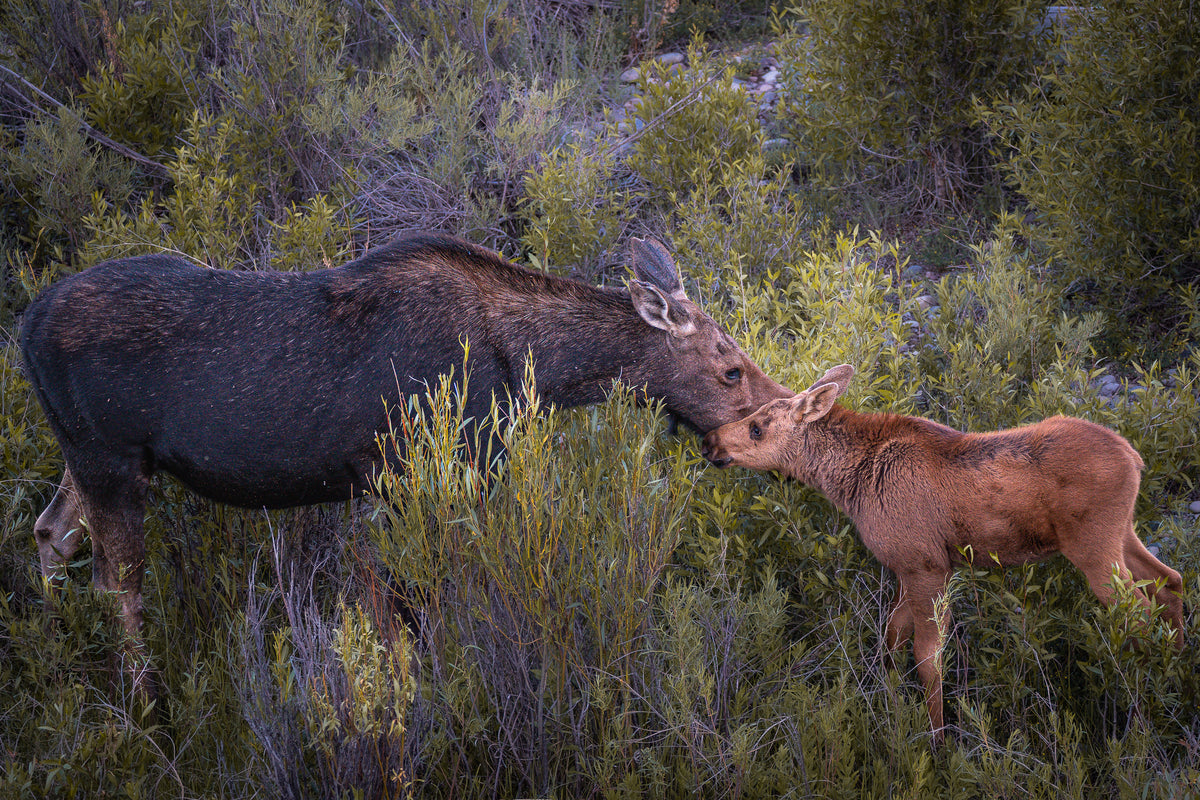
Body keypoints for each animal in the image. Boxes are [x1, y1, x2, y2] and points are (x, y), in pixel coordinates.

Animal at [701, 364, 1185, 743]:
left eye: (757, 427)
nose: (709, 441)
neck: (850, 483)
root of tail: (1135, 457)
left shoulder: (927, 565)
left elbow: (927, 658)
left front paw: (938, 739)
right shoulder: (905, 566)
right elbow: (891, 638)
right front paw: (888, 703)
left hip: (1094, 546)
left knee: (1141, 615)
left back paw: (1145, 711)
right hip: (1122, 532)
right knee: (1170, 581)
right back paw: (1175, 680)